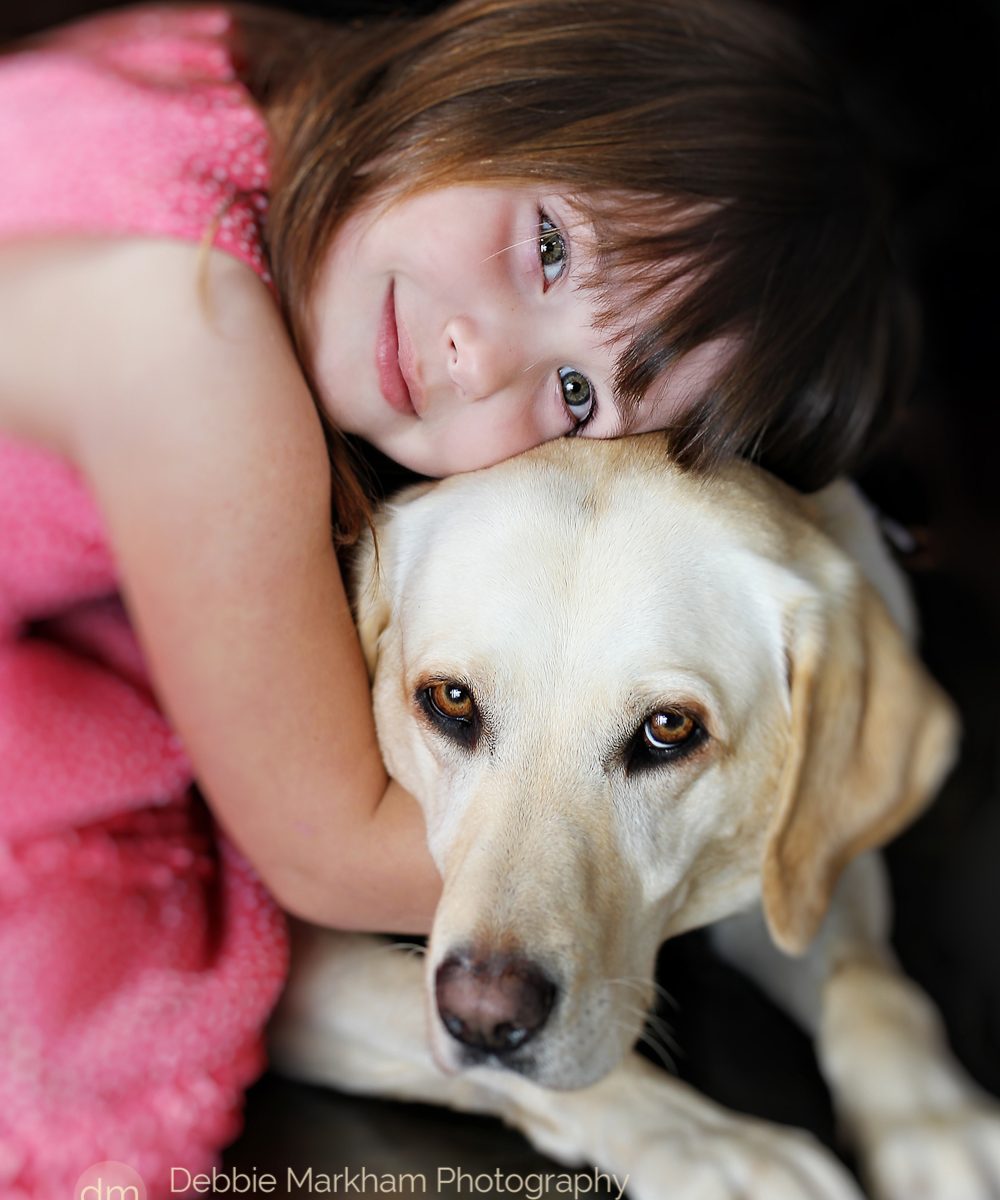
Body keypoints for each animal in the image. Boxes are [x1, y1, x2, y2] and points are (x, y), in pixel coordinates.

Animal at [271, 436, 998, 1200]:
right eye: (451, 699)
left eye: (668, 728)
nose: (483, 1018)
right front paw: (726, 1153)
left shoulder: (790, 864)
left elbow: (867, 979)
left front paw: (936, 1126)